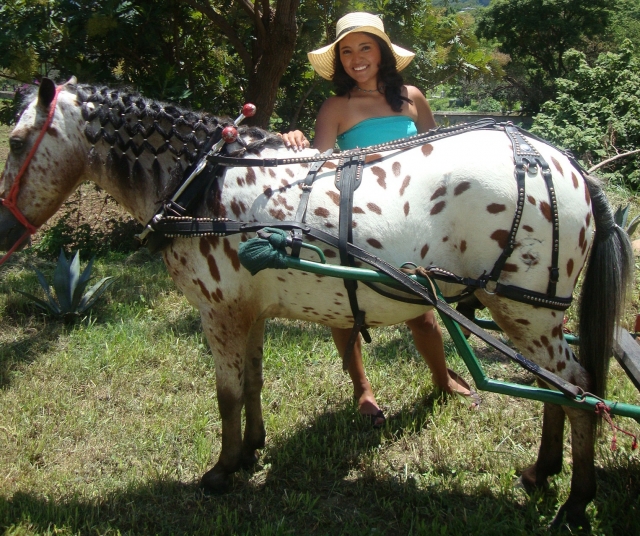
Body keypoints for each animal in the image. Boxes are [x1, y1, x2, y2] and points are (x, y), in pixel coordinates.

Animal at [0, 78, 632, 531]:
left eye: (13, 141)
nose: (3, 230)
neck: (202, 185)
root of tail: (569, 167)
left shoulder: (218, 311)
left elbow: (226, 395)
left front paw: (221, 471)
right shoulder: (248, 312)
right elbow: (251, 383)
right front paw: (252, 450)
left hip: (528, 312)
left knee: (579, 391)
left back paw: (575, 503)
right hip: (527, 319)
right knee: (557, 390)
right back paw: (541, 472)